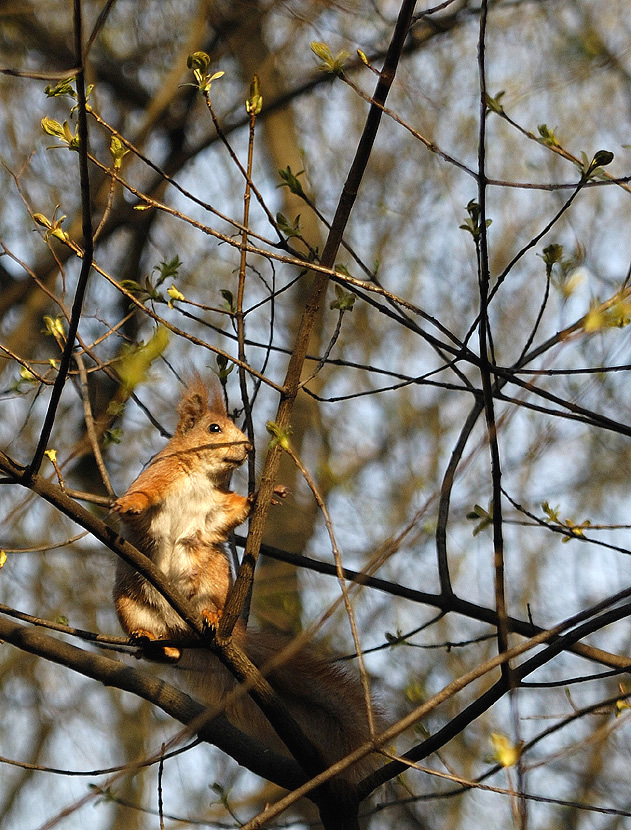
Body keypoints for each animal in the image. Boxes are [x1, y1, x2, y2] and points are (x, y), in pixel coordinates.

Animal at [113, 380, 378, 784]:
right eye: (214, 429)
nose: (250, 448)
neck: (200, 475)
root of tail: (184, 628)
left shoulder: (215, 504)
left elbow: (230, 511)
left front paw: (262, 496)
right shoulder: (159, 477)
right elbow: (143, 497)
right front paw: (127, 504)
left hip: (214, 580)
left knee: (198, 622)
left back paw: (207, 619)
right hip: (128, 602)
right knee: (157, 643)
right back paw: (151, 641)